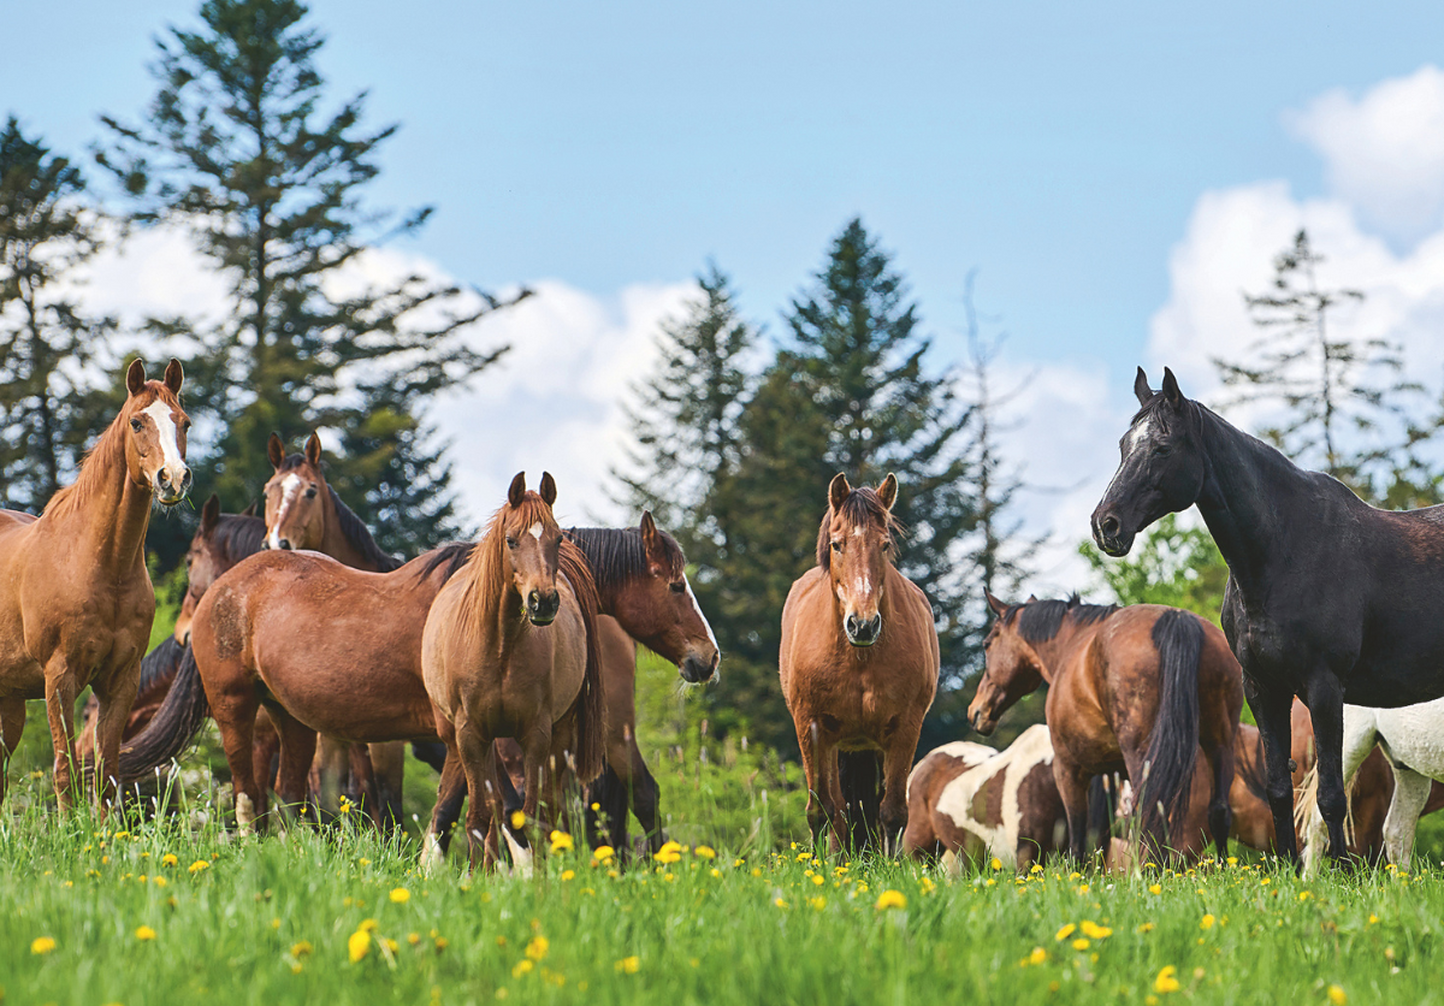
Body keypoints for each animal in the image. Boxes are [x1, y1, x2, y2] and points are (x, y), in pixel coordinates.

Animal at [0, 358, 190, 811]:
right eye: (137, 422)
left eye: (185, 423)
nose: (173, 479)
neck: (100, 567)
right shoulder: (59, 678)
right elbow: (64, 769)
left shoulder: (121, 679)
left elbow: (108, 773)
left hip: (10, 700)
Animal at [421, 472, 604, 869]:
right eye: (511, 540)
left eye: (557, 538)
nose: (543, 601)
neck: (499, 646)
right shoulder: (471, 735)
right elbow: (478, 817)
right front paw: (477, 877)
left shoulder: (536, 737)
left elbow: (532, 817)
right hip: (474, 740)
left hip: (557, 737)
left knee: (547, 813)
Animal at [779, 472, 939, 853]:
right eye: (837, 544)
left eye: (884, 544)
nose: (862, 624)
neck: (860, 658)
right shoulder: (811, 728)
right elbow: (819, 811)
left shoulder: (905, 729)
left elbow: (892, 811)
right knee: (836, 808)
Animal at [968, 594, 1242, 863]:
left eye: (986, 644)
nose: (975, 712)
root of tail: (1175, 619)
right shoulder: (1113, 773)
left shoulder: (1068, 769)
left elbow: (1078, 833)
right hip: (1220, 744)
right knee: (1216, 810)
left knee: (1149, 808)